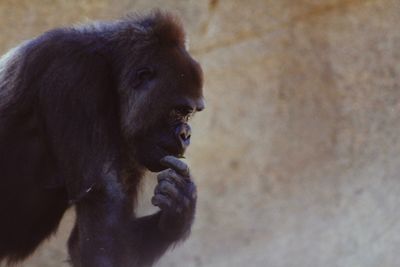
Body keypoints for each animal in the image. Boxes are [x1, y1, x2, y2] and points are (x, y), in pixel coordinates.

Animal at [0, 11, 205, 267]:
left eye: (191, 113)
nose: (186, 135)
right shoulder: (75, 75)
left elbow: (89, 243)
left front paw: (179, 209)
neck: (112, 72)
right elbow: (102, 219)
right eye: (178, 111)